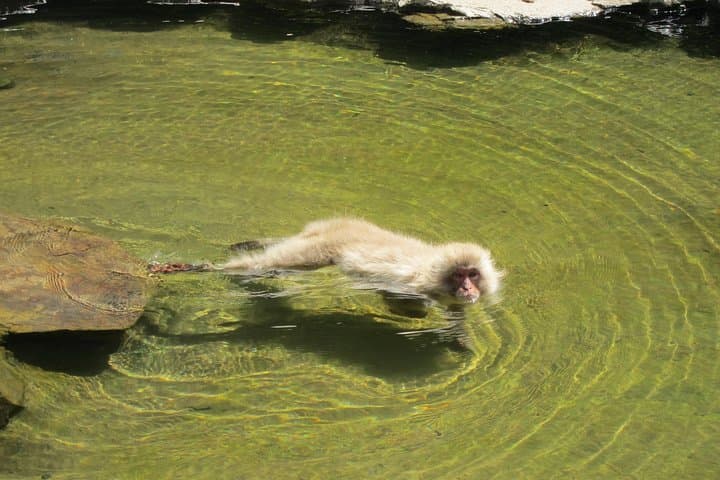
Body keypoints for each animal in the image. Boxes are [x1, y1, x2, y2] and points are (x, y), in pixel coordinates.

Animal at [149, 218, 502, 311]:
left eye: (473, 274)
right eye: (459, 275)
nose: (468, 288)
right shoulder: (416, 285)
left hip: (320, 233)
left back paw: (252, 243)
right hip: (321, 249)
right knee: (270, 263)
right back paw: (206, 268)